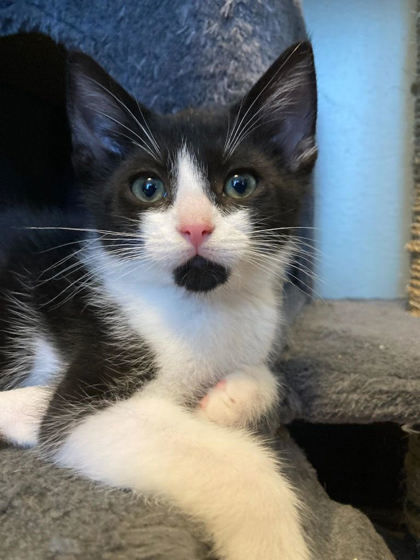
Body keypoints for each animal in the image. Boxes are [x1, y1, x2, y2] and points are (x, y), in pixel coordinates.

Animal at [0, 40, 316, 560]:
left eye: (241, 183)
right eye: (148, 188)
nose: (195, 227)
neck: (205, 308)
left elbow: (268, 375)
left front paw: (226, 401)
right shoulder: (86, 401)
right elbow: (237, 465)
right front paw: (270, 542)